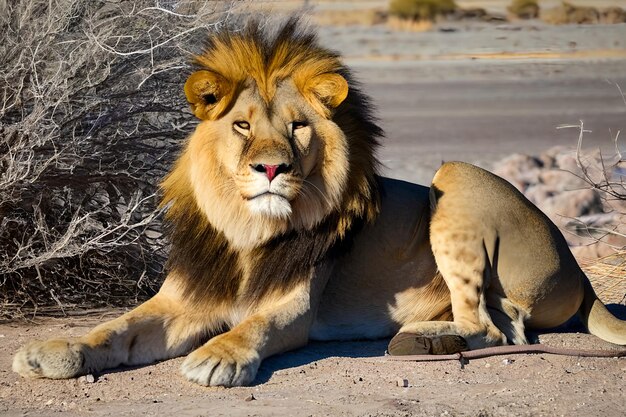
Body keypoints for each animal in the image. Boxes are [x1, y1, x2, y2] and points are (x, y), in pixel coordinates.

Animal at [11, 17, 624, 386]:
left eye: (297, 127)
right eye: (241, 125)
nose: (271, 167)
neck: (246, 231)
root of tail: (580, 270)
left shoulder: (294, 307)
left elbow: (253, 327)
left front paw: (218, 356)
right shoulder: (182, 301)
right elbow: (113, 329)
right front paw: (54, 349)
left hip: (456, 177)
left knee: (500, 326)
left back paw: (423, 340)